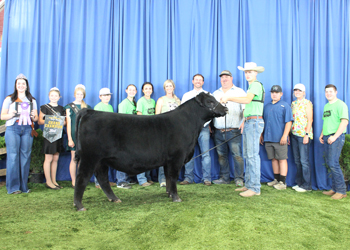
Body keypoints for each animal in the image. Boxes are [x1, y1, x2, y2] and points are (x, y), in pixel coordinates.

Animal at [73, 92, 227, 211]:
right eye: (210, 101)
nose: (225, 108)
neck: (190, 124)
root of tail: (91, 112)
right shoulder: (177, 157)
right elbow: (173, 177)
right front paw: (176, 198)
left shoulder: (168, 160)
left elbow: (168, 177)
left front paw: (169, 194)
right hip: (89, 157)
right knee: (82, 178)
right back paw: (79, 205)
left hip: (101, 161)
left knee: (103, 179)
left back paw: (114, 199)